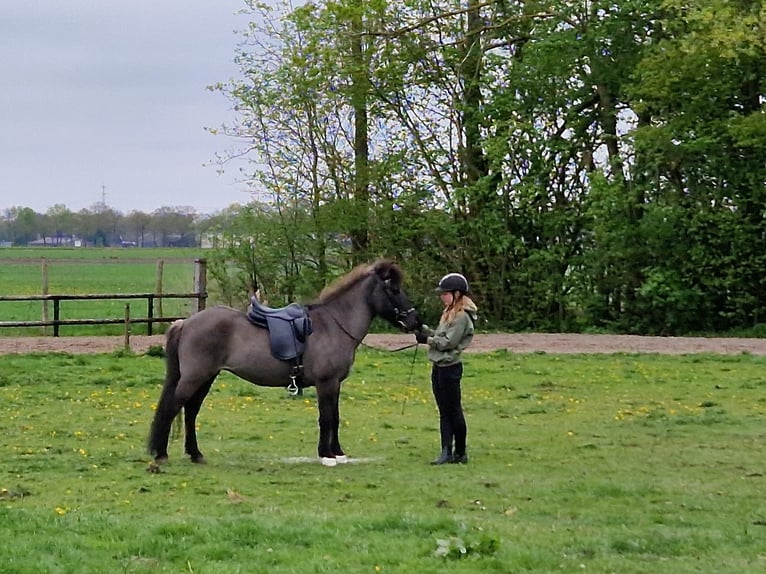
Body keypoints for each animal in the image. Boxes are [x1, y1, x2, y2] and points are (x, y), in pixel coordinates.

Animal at [147, 259, 421, 467]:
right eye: (393, 290)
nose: (415, 322)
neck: (334, 324)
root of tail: (186, 323)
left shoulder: (335, 384)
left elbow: (335, 417)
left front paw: (338, 452)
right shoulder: (326, 383)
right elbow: (326, 418)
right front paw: (326, 455)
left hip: (206, 377)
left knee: (191, 411)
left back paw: (195, 454)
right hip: (195, 377)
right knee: (174, 407)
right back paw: (161, 454)